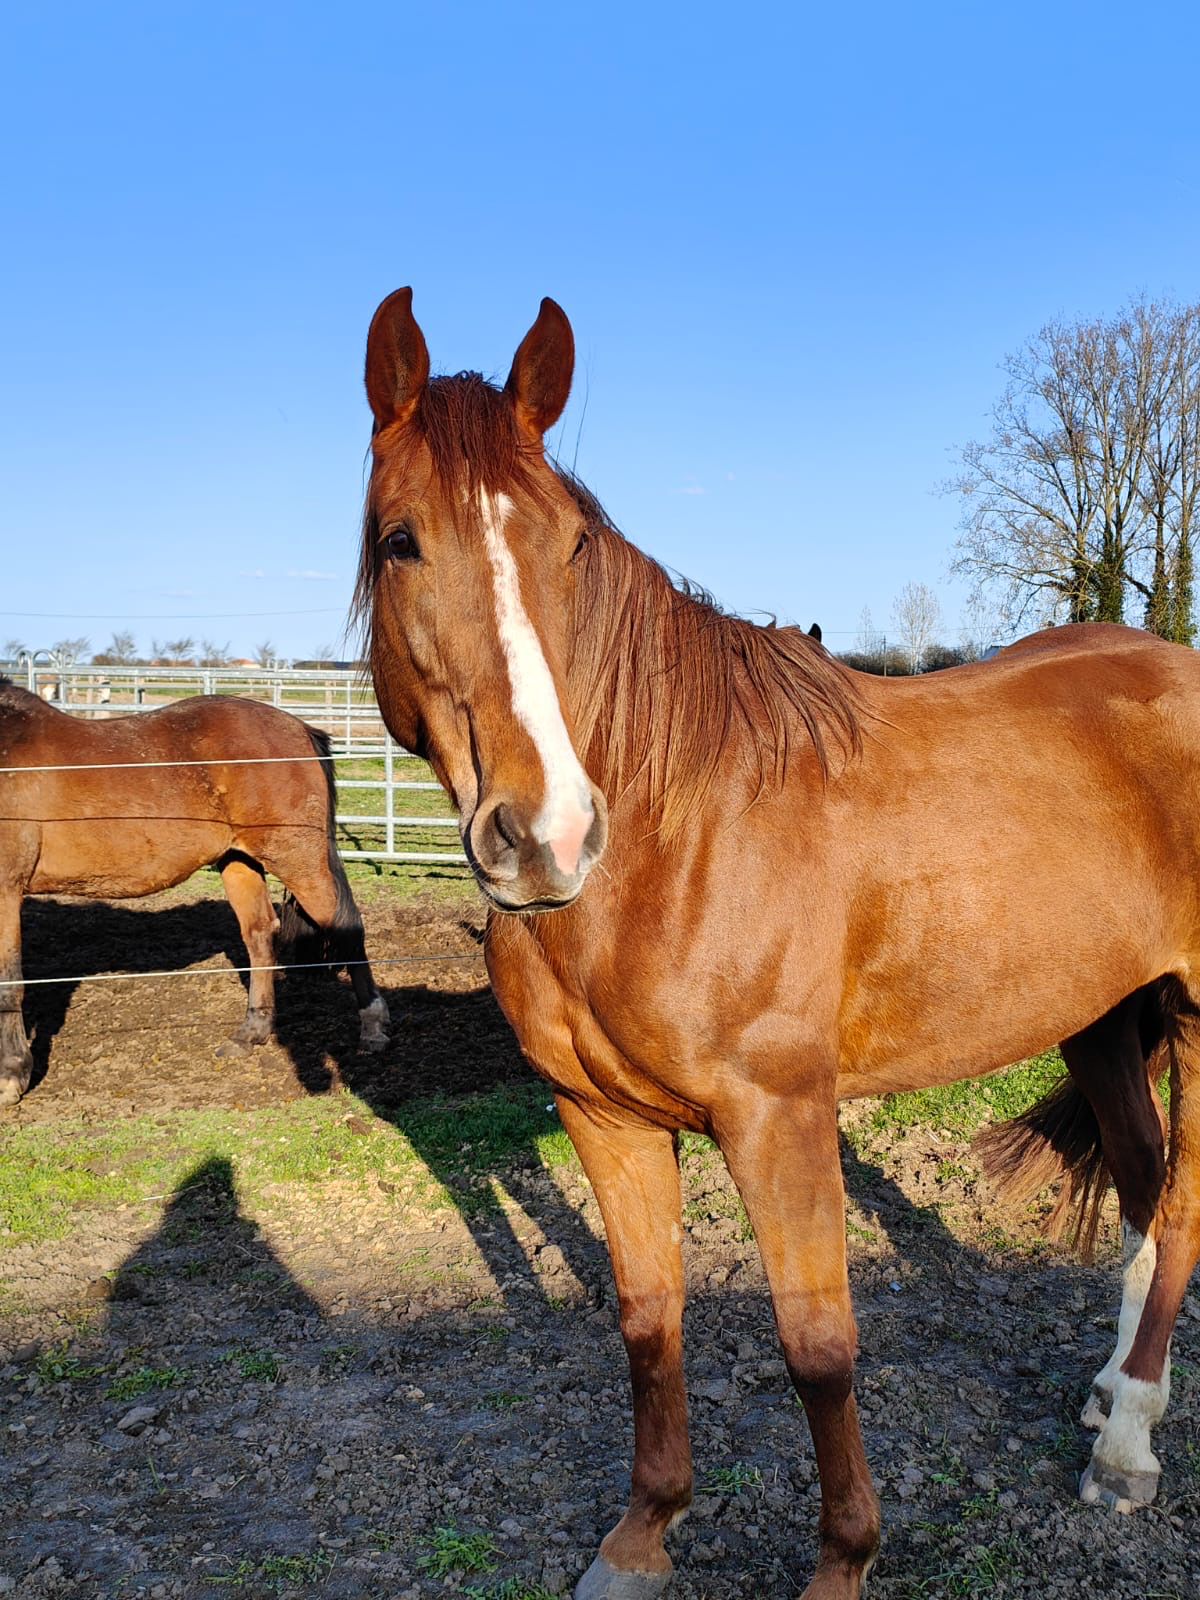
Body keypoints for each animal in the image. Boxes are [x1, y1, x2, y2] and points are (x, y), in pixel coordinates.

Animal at [0, 679, 389, 1103]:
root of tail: (301, 729)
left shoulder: (6, 890)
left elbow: (9, 982)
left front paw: (11, 1075)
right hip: (239, 861)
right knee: (259, 935)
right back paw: (251, 1033)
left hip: (296, 858)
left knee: (345, 927)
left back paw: (373, 1028)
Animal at [355, 287, 1199, 1600]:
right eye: (401, 540)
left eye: (572, 545)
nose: (547, 833)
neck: (668, 832)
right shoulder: (601, 1118)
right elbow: (648, 1322)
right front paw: (641, 1537)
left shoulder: (780, 1116)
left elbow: (817, 1344)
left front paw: (843, 1558)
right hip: (1101, 1015)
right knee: (1146, 1182)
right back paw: (1119, 1399)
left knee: (1188, 1204)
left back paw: (1125, 1452)